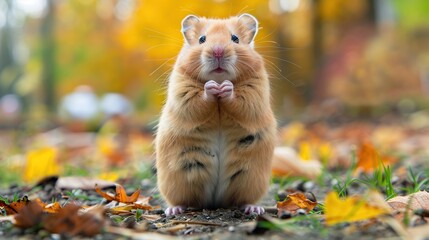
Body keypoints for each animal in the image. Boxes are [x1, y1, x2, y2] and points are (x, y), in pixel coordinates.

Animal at [155, 13, 276, 216]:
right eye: (202, 39)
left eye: (235, 38)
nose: (218, 51)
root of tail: (214, 202)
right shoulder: (182, 91)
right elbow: (197, 100)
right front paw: (211, 87)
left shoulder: (255, 92)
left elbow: (241, 100)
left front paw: (226, 88)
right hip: (177, 180)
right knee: (182, 200)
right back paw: (174, 210)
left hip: (251, 178)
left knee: (243, 199)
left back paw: (254, 209)